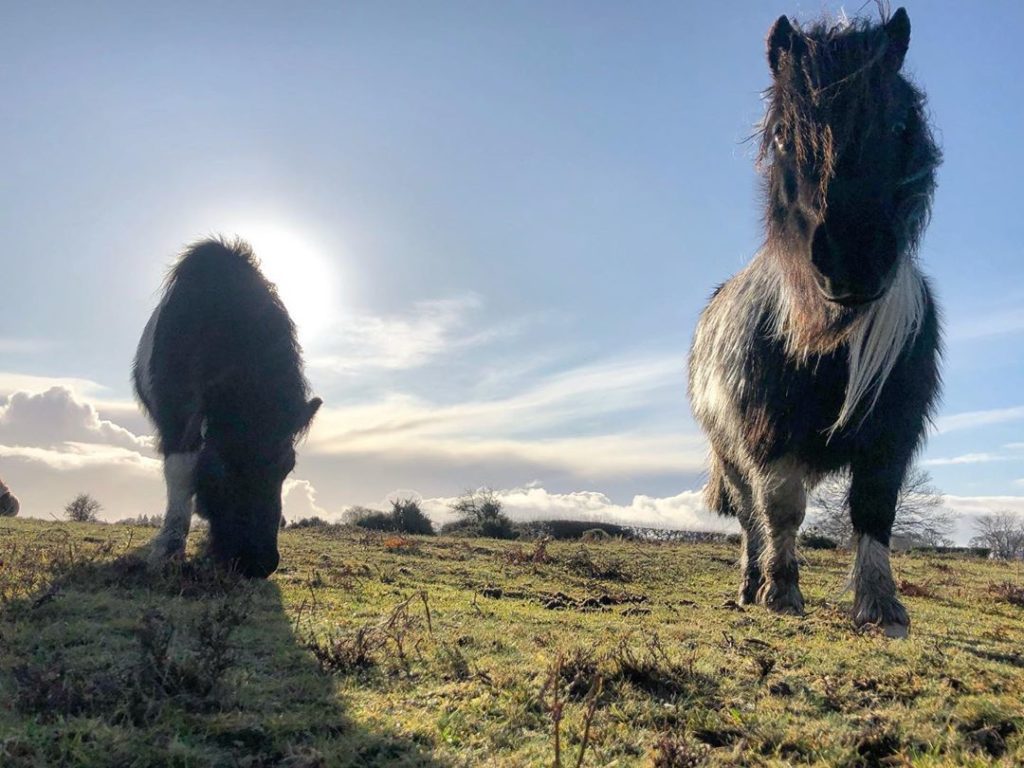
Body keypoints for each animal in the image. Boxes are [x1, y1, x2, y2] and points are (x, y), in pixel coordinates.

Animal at [134, 238, 322, 578]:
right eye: (221, 468)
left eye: (288, 467)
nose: (258, 563)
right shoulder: (176, 417)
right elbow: (180, 472)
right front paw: (167, 552)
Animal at [687, 8, 941, 637]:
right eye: (783, 135)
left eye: (898, 123)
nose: (852, 261)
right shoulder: (767, 433)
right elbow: (781, 509)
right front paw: (780, 590)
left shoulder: (892, 434)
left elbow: (875, 511)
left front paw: (881, 607)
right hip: (729, 454)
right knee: (750, 519)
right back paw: (749, 585)